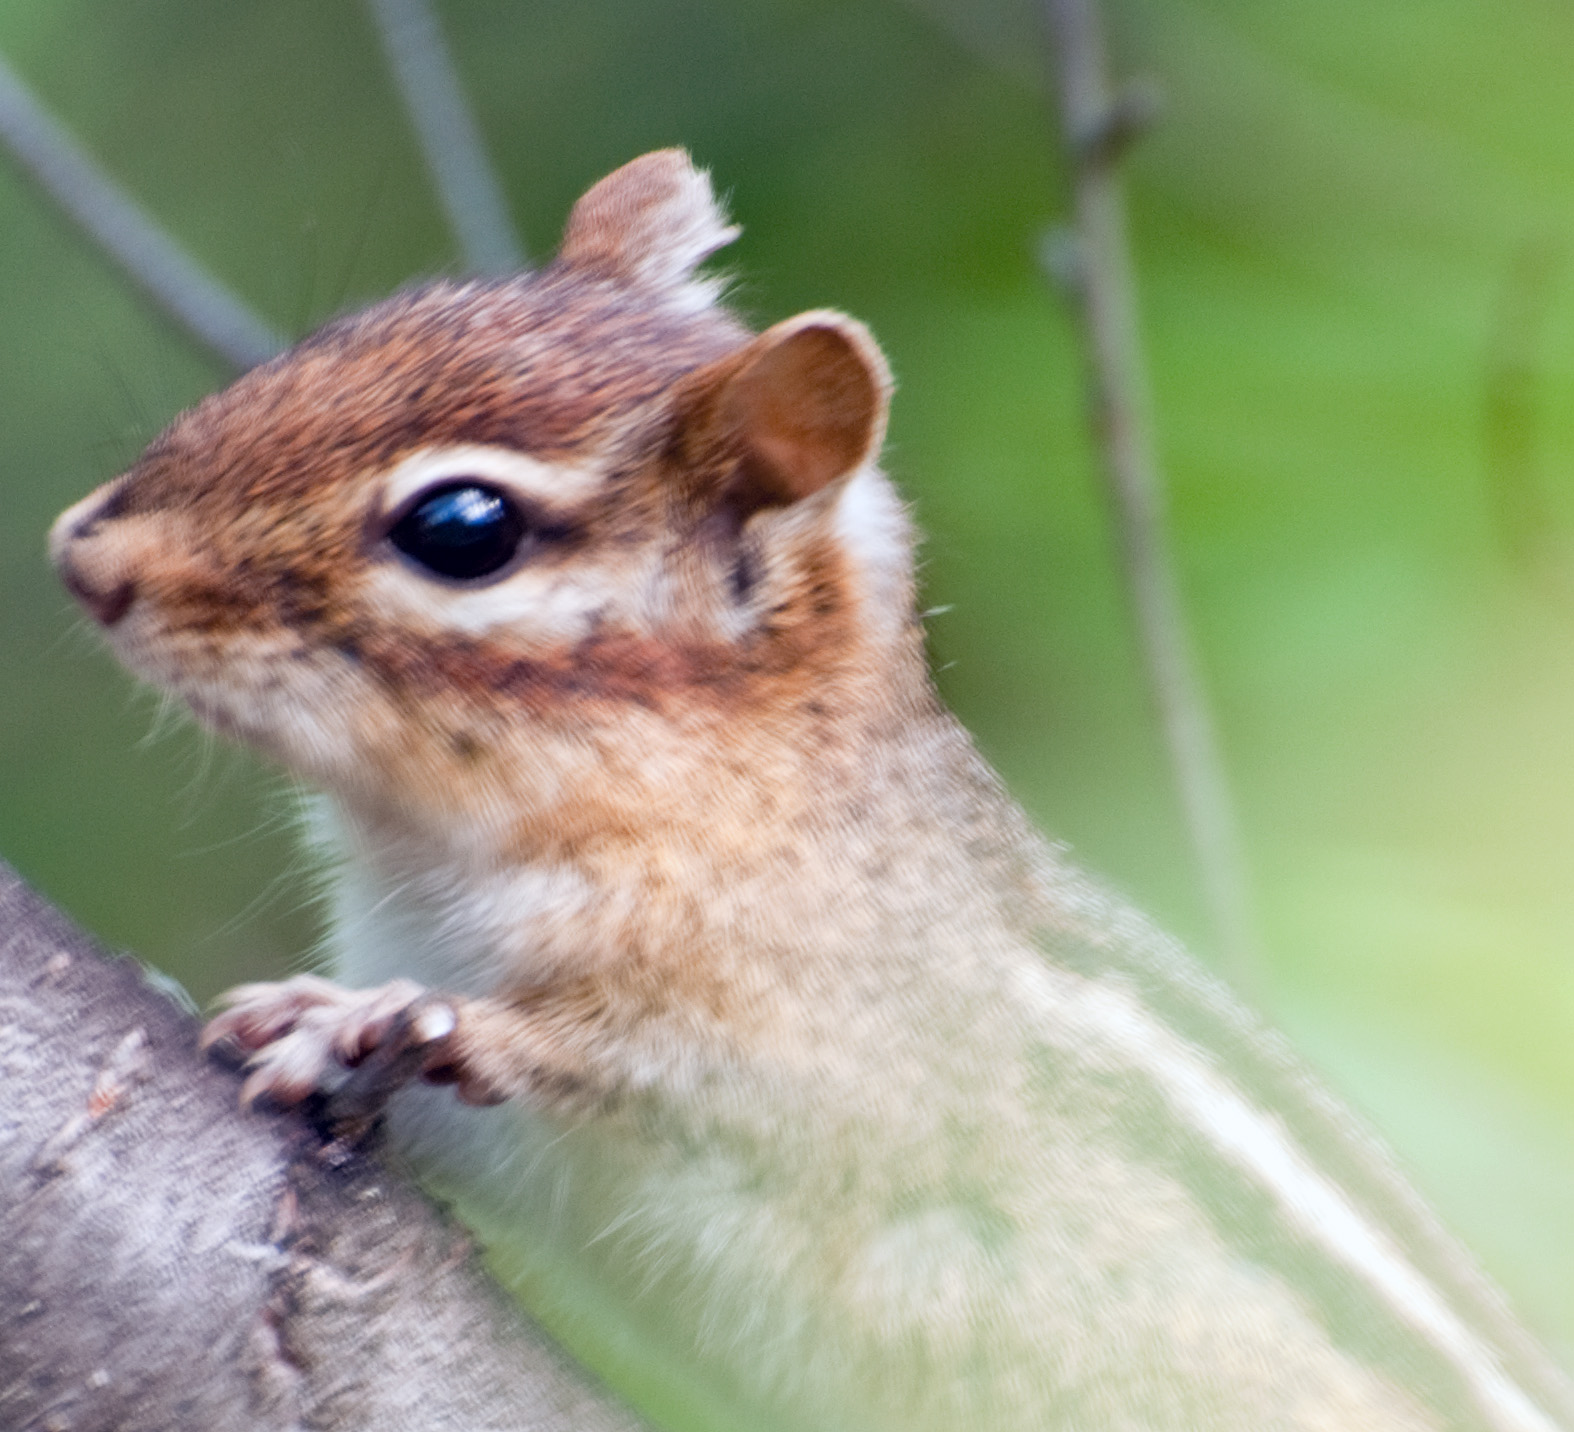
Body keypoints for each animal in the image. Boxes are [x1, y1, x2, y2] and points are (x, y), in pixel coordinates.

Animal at [50, 149, 1574, 1432]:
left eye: (460, 527)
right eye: (365, 323)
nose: (84, 552)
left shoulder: (823, 1046)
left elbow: (637, 1068)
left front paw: (375, 1019)